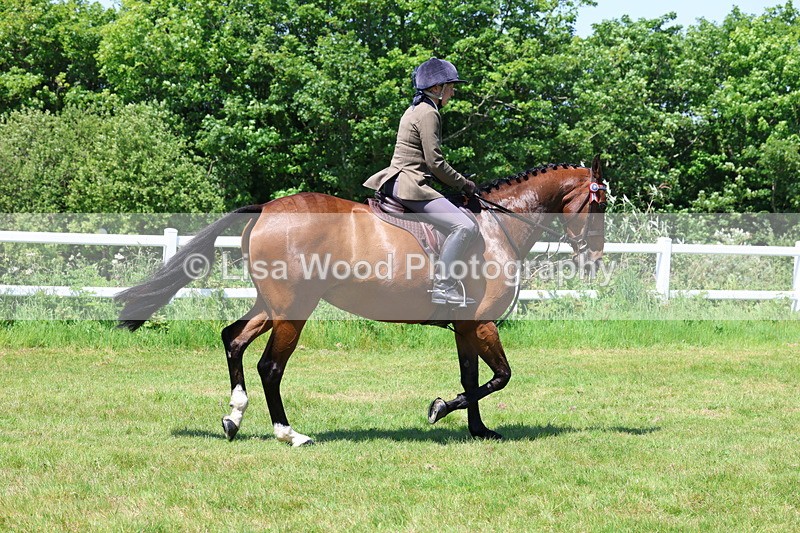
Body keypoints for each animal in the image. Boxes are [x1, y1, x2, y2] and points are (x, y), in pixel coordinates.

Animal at [116, 156, 608, 445]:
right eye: (600, 205)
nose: (594, 261)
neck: (497, 228)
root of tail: (268, 208)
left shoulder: (466, 327)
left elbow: (471, 378)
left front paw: (476, 429)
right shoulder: (482, 322)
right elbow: (500, 376)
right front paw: (440, 410)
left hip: (271, 305)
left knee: (233, 339)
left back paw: (234, 417)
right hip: (294, 311)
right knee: (269, 367)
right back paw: (289, 433)